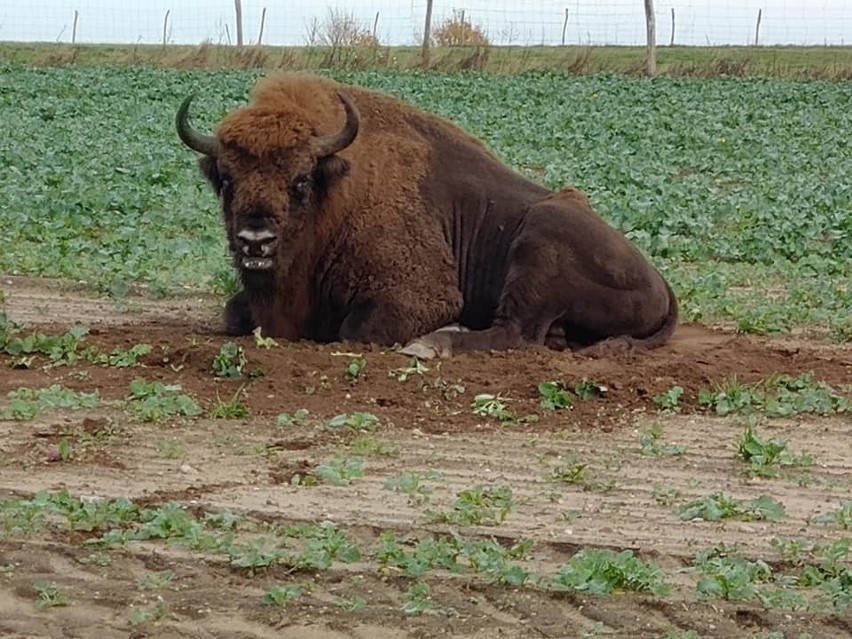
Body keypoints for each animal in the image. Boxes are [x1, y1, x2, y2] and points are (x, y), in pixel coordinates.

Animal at [175, 74, 680, 360]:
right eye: (226, 178)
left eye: (300, 180)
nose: (255, 240)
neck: (337, 188)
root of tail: (659, 280)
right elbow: (233, 315)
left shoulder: (419, 297)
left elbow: (356, 330)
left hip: (540, 241)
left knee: (515, 332)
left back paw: (435, 343)